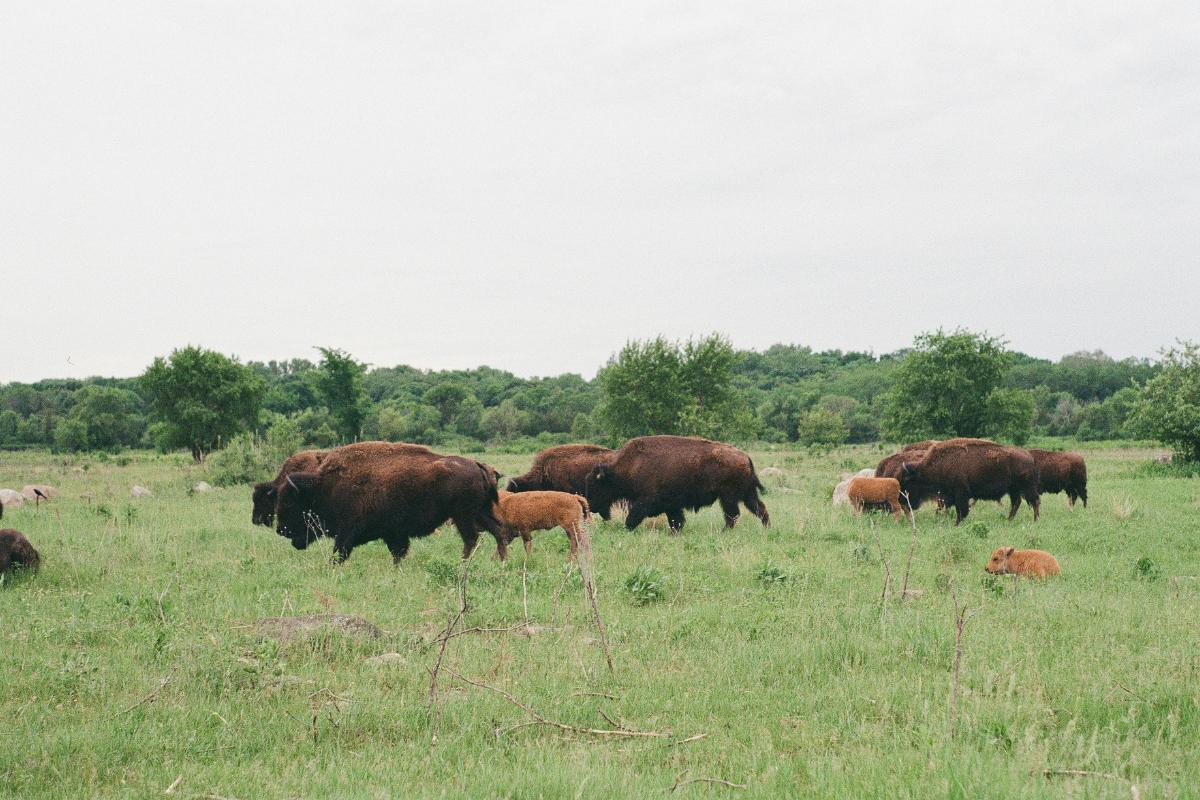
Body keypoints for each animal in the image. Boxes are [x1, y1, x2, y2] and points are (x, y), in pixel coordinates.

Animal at [274, 443, 506, 563]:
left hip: (463, 516)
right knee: (498, 531)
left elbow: (340, 551)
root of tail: (478, 465)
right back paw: (502, 560)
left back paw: (463, 563)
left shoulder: (347, 531)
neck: (323, 487)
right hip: (480, 512)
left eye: (289, 503)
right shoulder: (394, 533)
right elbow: (398, 552)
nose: (280, 530)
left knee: (471, 538)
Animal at [583, 434, 768, 534]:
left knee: (733, 515)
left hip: (728, 497)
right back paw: (767, 527)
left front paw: (626, 528)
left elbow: (633, 517)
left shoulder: (645, 501)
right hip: (746, 494)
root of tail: (745, 457)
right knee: (759, 509)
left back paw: (723, 532)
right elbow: (676, 520)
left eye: (595, 485)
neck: (630, 465)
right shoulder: (671, 506)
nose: (590, 506)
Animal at [902, 438, 1041, 525]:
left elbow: (961, 511)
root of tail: (1030, 457)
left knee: (1034, 501)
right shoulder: (948, 496)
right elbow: (948, 508)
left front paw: (956, 524)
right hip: (1013, 490)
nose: (905, 502)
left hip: (1026, 488)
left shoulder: (960, 494)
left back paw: (1035, 521)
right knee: (1016, 503)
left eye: (908, 482)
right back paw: (1009, 520)